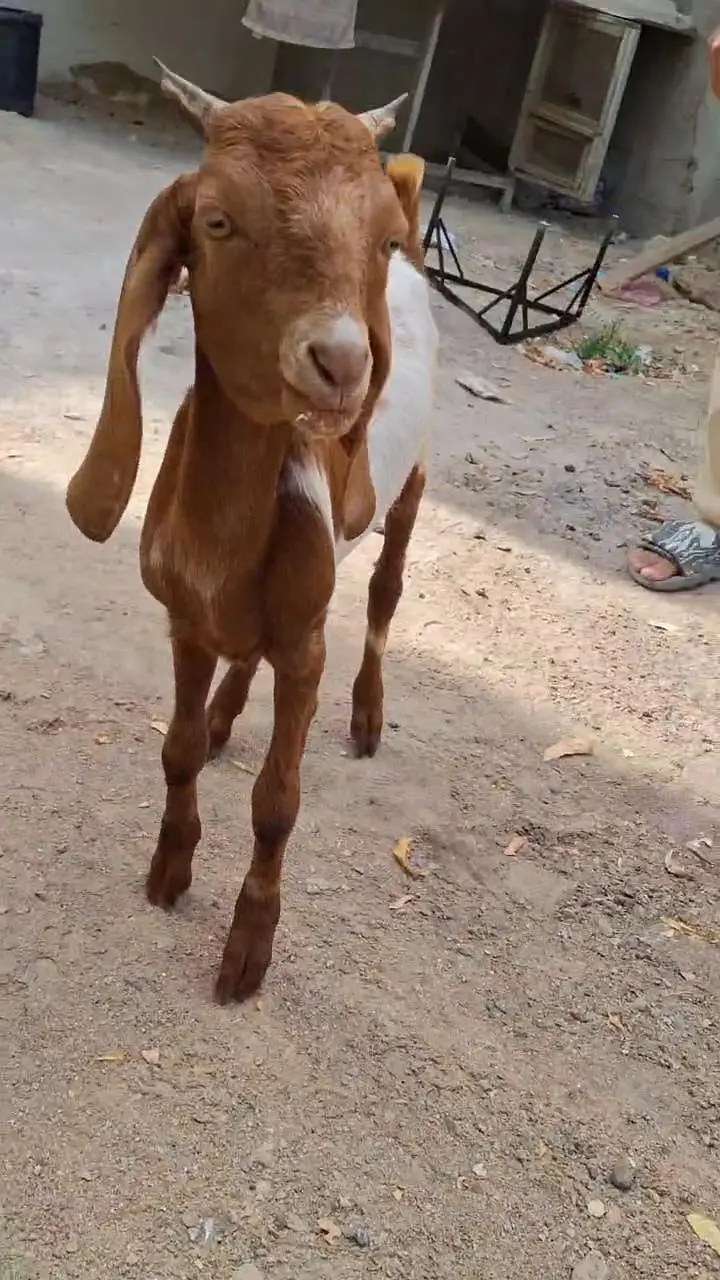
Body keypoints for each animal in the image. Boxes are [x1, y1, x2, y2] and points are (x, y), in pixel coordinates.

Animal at [65, 61, 438, 1003]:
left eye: (378, 240)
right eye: (219, 221)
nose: (345, 364)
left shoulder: (305, 645)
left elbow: (278, 801)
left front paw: (249, 944)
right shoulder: (185, 624)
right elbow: (179, 748)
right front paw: (169, 870)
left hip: (412, 481)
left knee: (386, 587)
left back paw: (368, 715)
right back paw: (235, 709)